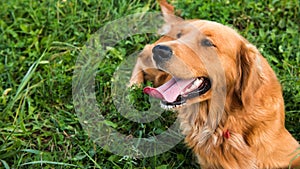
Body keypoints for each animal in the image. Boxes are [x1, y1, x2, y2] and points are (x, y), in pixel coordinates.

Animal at [129, 0, 300, 168]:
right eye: (179, 35)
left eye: (208, 42)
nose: (160, 51)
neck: (226, 121)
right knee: (143, 52)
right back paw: (133, 86)